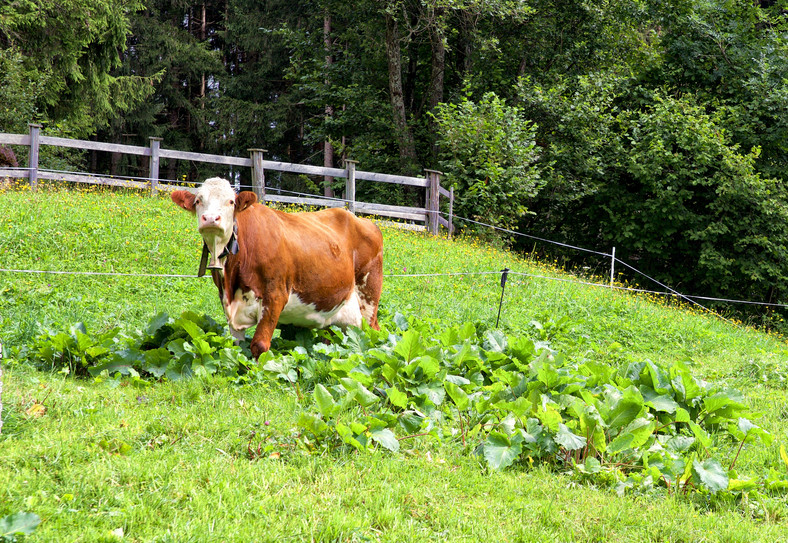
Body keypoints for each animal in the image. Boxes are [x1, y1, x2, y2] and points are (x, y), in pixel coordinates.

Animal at [171, 176, 384, 360]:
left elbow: (259, 345)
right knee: (330, 338)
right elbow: (236, 347)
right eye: (198, 200)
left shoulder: (275, 296)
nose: (210, 218)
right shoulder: (229, 303)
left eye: (230, 202)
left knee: (373, 333)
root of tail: (360, 219)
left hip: (368, 299)